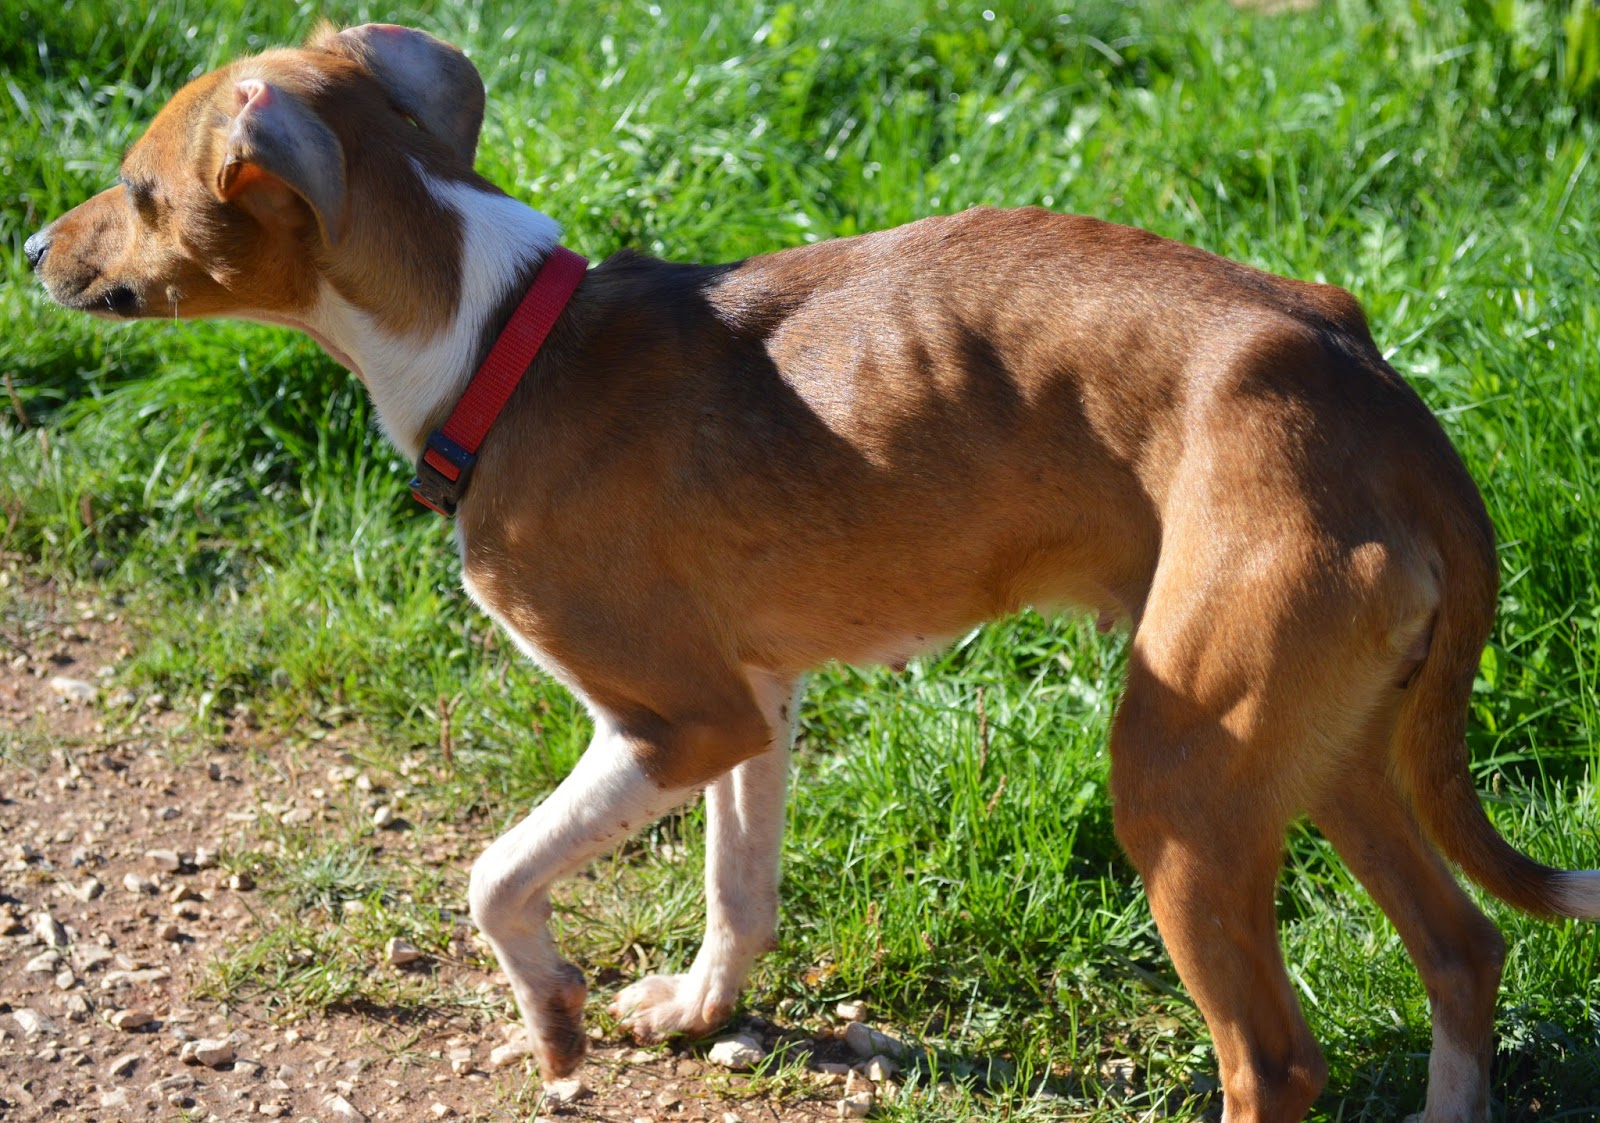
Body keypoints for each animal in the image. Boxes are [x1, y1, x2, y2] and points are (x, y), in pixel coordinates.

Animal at [25, 24, 1600, 1123]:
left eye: (139, 188)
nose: (31, 243)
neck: (497, 342)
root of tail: (1369, 383)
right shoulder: (755, 705)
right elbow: (739, 887)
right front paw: (695, 1007)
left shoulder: (670, 716)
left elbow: (492, 874)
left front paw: (555, 1016)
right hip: (1331, 749)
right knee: (1464, 948)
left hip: (1185, 779)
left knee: (1277, 1061)